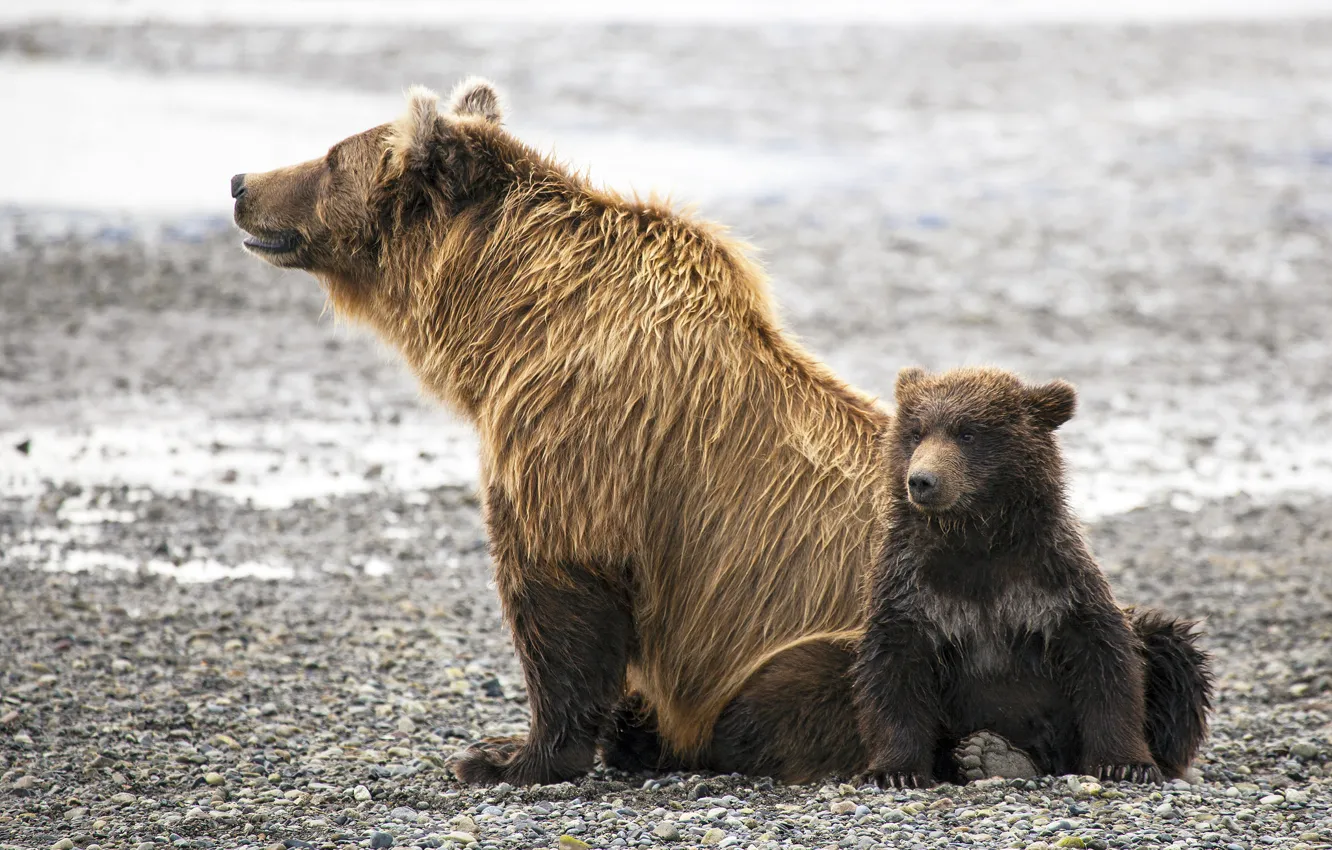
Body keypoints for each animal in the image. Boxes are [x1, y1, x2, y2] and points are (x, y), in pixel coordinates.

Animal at [231, 78, 889, 785]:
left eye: (330, 158)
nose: (241, 182)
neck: (509, 317)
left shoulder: (578, 435)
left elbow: (557, 588)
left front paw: (510, 755)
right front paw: (610, 732)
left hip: (845, 632)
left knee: (781, 702)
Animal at [853, 366, 1213, 787]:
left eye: (967, 432)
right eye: (916, 432)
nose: (922, 480)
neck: (975, 538)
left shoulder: (1053, 579)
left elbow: (1106, 660)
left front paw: (1125, 763)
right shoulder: (914, 587)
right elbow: (894, 670)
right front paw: (895, 771)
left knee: (1173, 651)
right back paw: (991, 755)